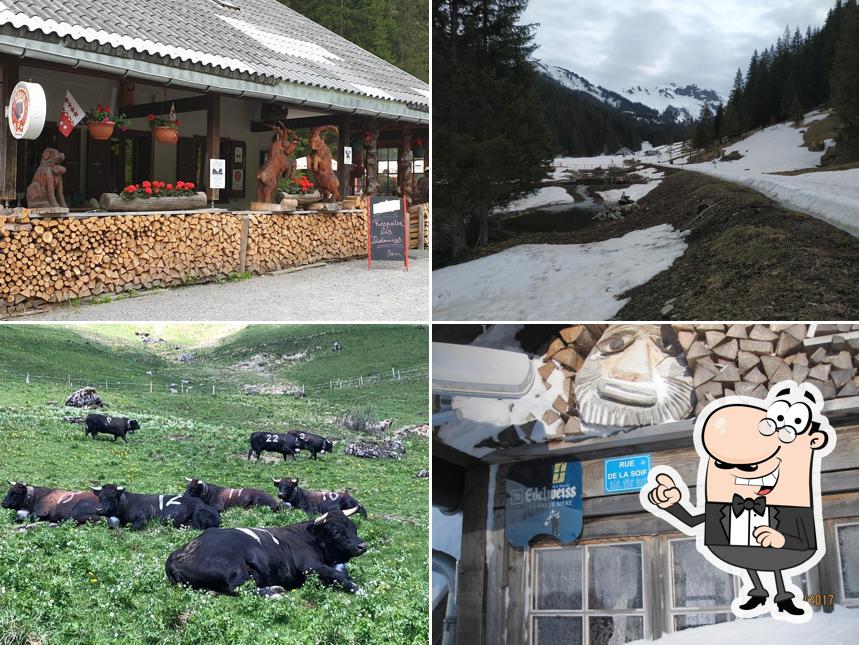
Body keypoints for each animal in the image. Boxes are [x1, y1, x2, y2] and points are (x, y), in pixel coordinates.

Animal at [92, 484, 220, 528]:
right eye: (100, 497)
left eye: (112, 497)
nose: (99, 510)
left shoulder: (142, 518)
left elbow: (134, 527)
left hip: (197, 513)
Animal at [165, 506, 366, 596]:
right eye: (336, 531)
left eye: (353, 527)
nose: (362, 546)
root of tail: (179, 553)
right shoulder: (309, 564)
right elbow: (337, 575)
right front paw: (359, 589)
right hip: (233, 566)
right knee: (241, 588)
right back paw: (275, 592)